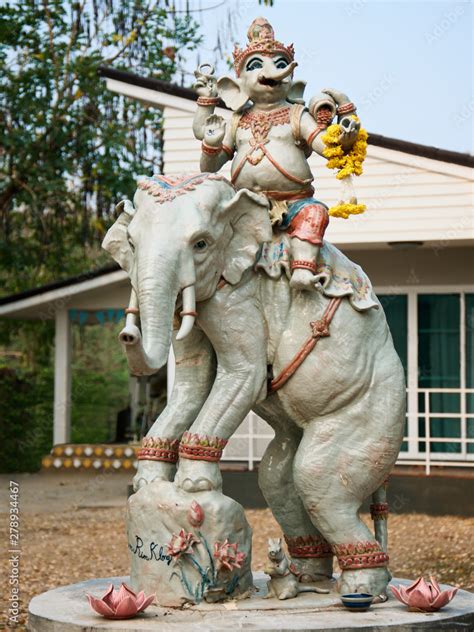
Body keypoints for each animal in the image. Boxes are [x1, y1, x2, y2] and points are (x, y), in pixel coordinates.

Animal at [103, 172, 404, 596]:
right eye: (131, 243)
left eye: (201, 244)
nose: (127, 335)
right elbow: (194, 379)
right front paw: (147, 483)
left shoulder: (239, 295)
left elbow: (242, 374)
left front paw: (194, 485)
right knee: (278, 479)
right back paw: (307, 578)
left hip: (374, 412)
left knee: (318, 479)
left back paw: (361, 587)